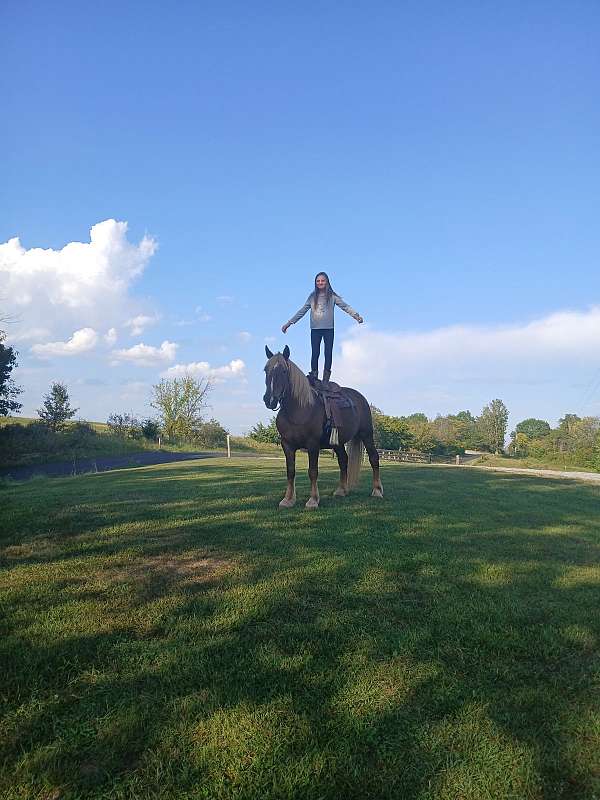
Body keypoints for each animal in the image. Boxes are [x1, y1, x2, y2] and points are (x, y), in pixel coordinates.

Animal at [263, 345, 384, 508]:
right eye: (266, 370)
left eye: (284, 371)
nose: (269, 399)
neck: (300, 410)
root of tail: (360, 398)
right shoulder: (287, 445)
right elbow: (290, 471)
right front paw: (288, 499)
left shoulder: (312, 444)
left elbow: (313, 471)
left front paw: (313, 500)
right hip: (338, 443)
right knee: (343, 460)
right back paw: (341, 490)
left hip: (366, 434)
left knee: (374, 458)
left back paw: (377, 490)